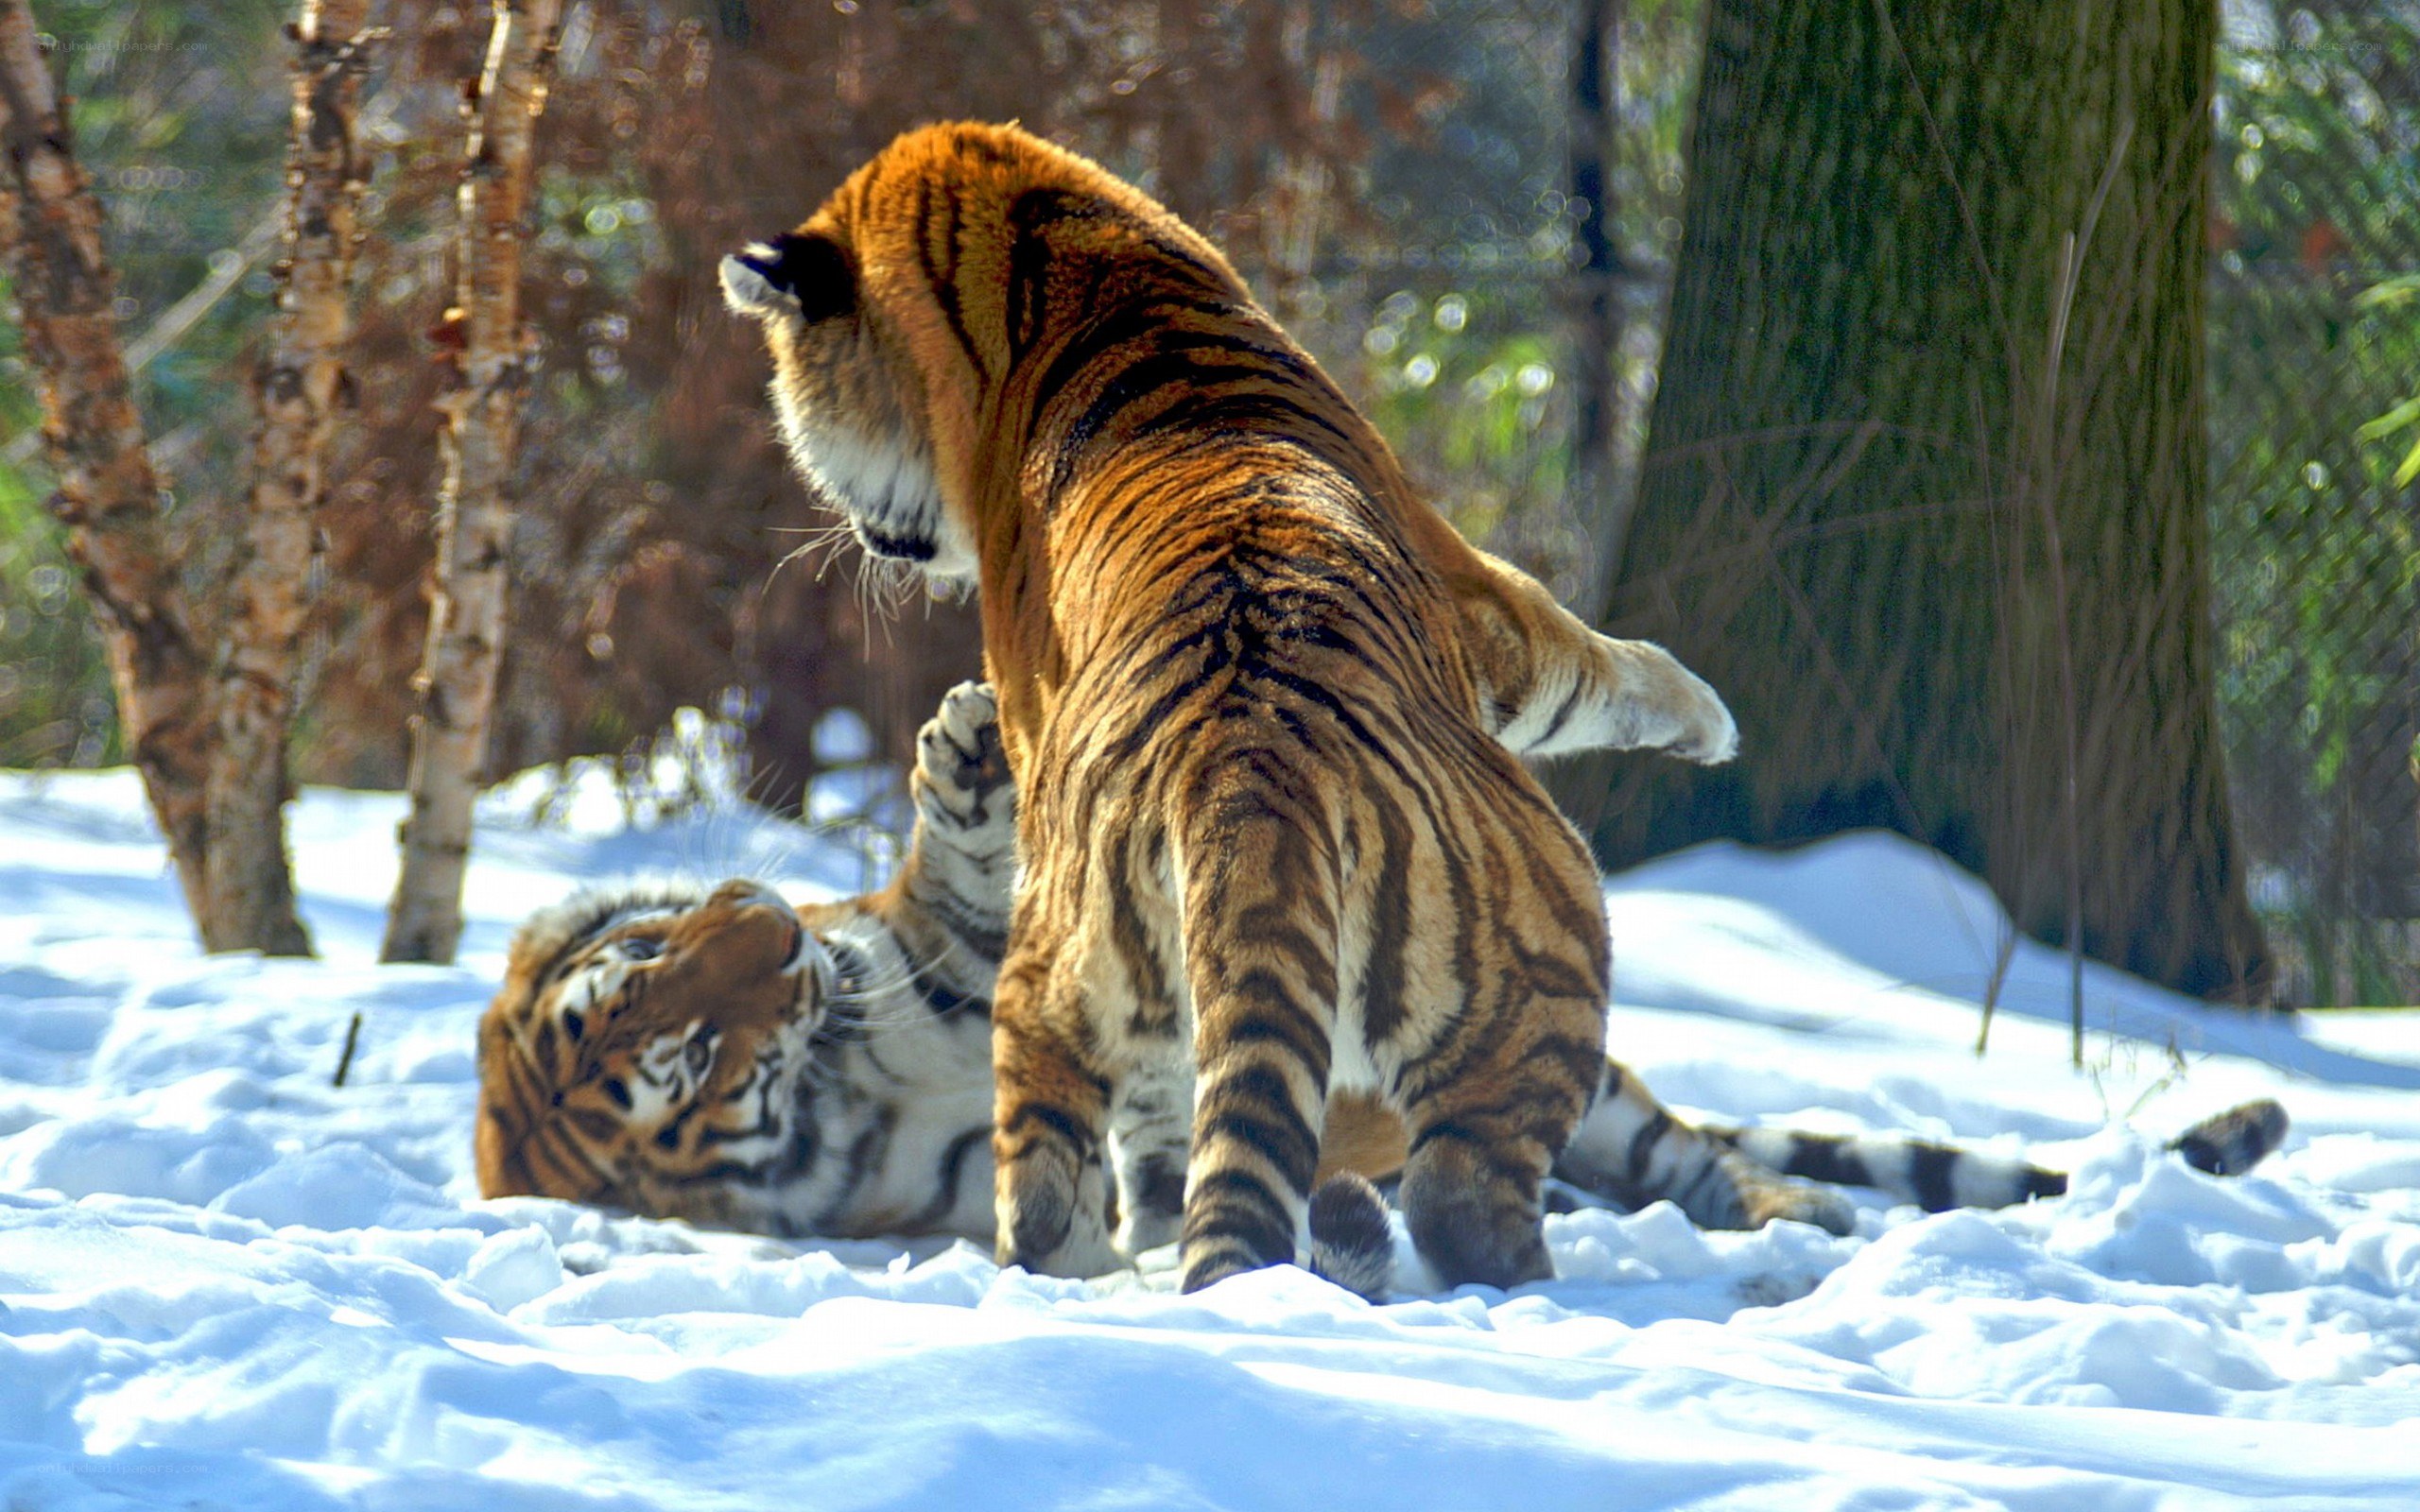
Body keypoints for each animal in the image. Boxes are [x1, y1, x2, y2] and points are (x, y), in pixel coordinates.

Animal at [476, 680, 2290, 1294]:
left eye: (652, 966)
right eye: (688, 1055)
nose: (771, 933)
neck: (855, 1057)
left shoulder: (970, 954)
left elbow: (976, 876)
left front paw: (973, 754)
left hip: (1608, 1101)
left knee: (1721, 1162)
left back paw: (1802, 1222)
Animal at [716, 120, 1758, 1294]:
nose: (857, 531)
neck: (1052, 258)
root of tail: (1246, 764)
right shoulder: (1480, 599)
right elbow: (1593, 665)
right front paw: (1711, 720)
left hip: (1064, 971)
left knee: (1054, 1182)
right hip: (1554, 935)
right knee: (1459, 1190)